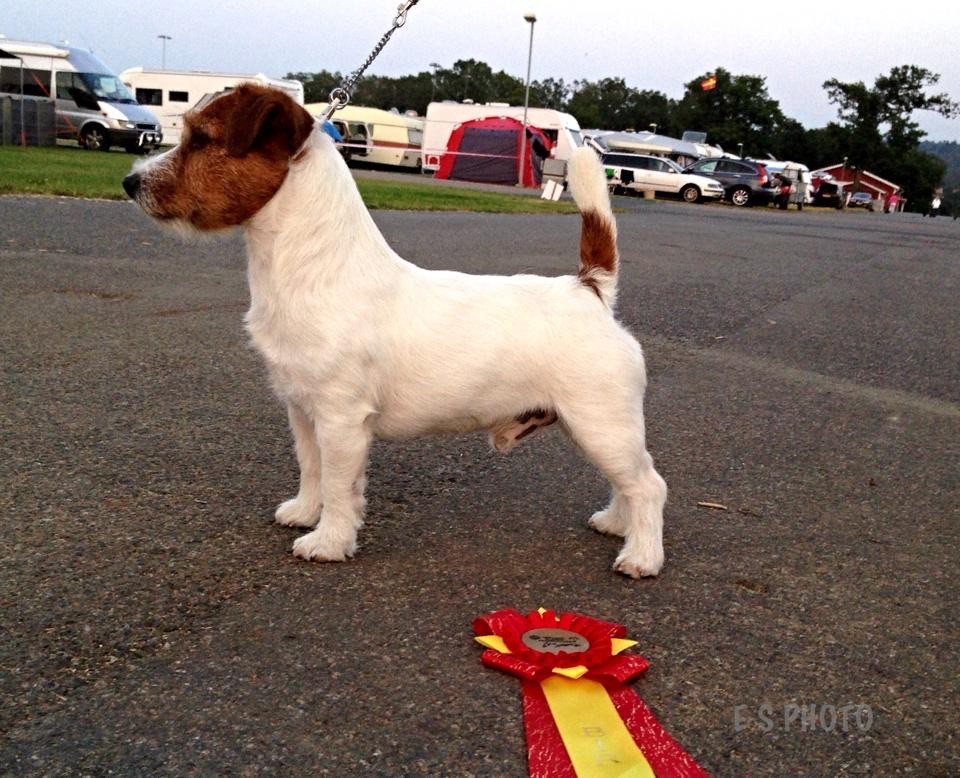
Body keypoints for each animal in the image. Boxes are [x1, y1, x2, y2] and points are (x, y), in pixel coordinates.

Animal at [124, 85, 668, 576]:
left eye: (201, 139)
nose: (130, 182)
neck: (318, 269)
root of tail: (590, 290)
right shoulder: (303, 410)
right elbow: (312, 469)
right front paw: (304, 512)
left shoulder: (341, 420)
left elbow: (339, 487)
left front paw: (328, 542)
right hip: (594, 428)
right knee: (628, 483)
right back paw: (615, 524)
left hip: (601, 424)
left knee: (648, 484)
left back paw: (641, 556)